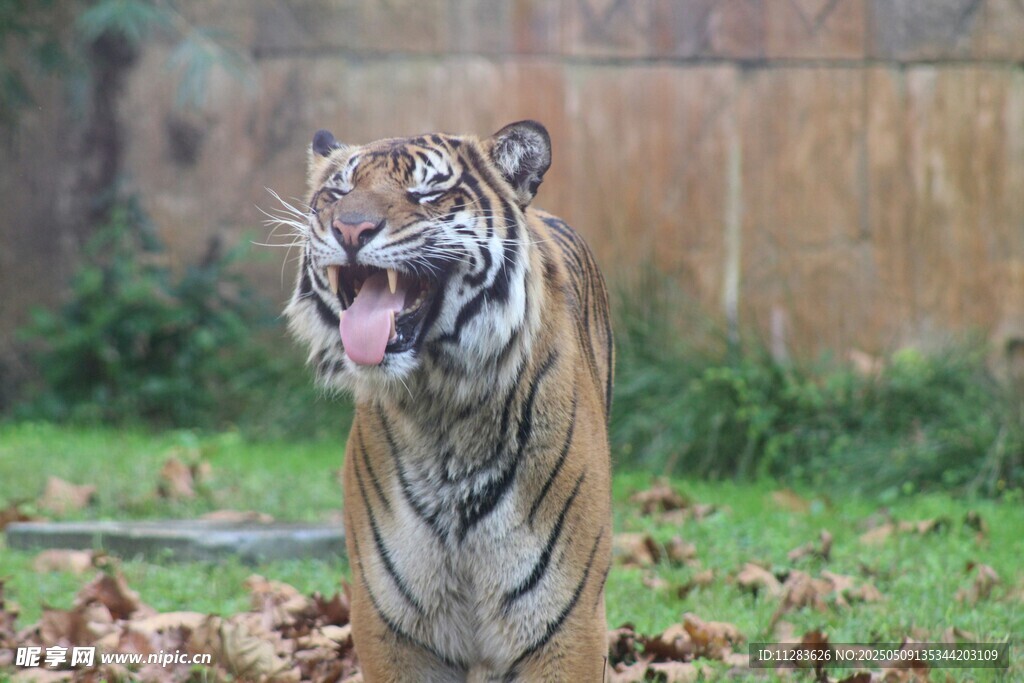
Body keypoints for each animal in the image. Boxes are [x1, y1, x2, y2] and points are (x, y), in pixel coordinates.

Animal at [282, 120, 614, 682]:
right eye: (340, 191)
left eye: (427, 192)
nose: (350, 230)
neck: (442, 411)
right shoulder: (393, 628)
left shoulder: (565, 628)